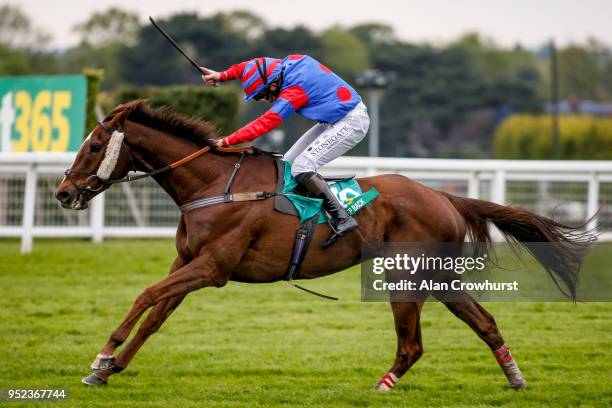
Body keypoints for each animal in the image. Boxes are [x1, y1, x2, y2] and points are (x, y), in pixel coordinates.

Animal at [56, 101, 592, 388]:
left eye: (93, 146)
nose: (63, 192)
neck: (215, 183)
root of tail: (444, 194)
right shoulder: (187, 262)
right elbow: (155, 315)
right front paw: (111, 368)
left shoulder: (212, 268)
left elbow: (144, 297)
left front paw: (102, 357)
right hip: (436, 277)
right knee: (483, 320)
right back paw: (515, 378)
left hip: (406, 277)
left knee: (413, 344)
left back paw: (382, 386)